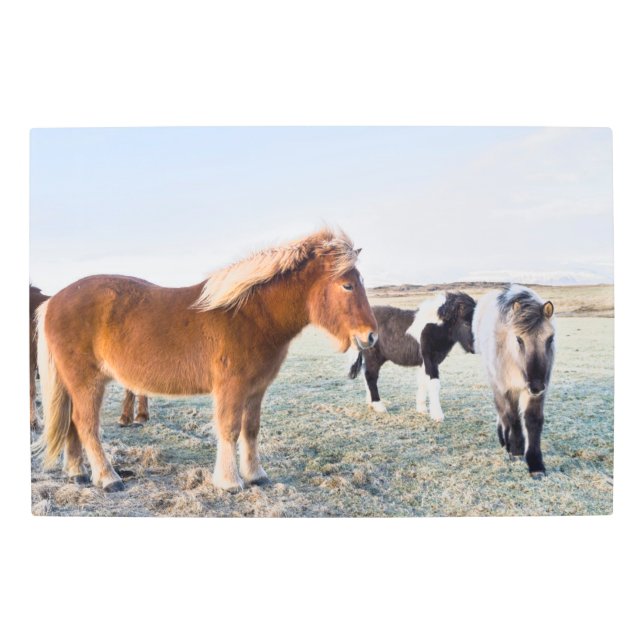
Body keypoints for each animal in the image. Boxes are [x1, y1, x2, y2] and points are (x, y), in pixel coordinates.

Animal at [349, 291, 476, 420]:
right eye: (466, 323)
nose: (474, 348)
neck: (434, 326)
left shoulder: (424, 362)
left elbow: (423, 382)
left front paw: (422, 409)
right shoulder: (430, 359)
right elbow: (434, 384)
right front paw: (437, 416)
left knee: (365, 372)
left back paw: (370, 403)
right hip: (373, 356)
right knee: (370, 376)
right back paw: (379, 406)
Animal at [473, 284, 555, 478]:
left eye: (550, 338)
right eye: (519, 339)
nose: (536, 385)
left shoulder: (537, 394)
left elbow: (533, 421)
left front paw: (536, 464)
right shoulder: (508, 389)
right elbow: (513, 417)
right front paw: (517, 450)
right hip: (495, 381)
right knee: (501, 411)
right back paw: (505, 441)